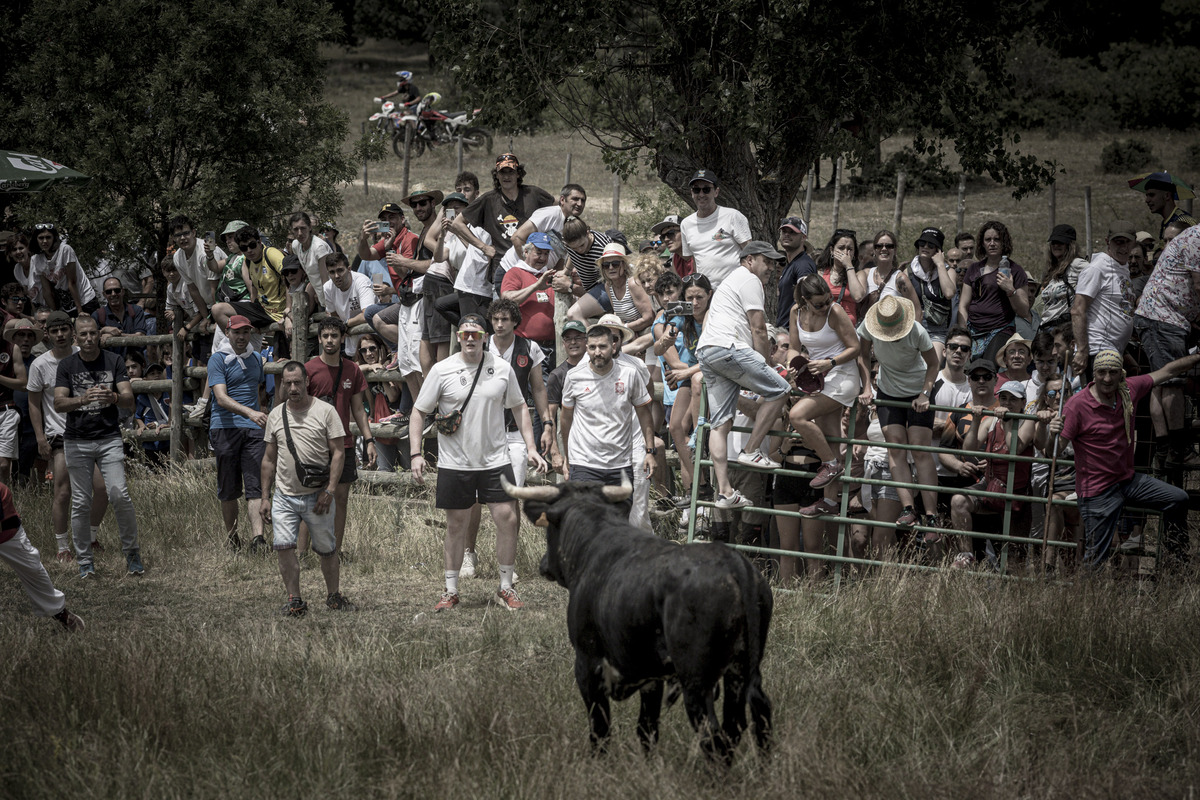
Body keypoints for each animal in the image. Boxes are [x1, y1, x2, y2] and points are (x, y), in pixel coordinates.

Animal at [504, 474, 768, 762]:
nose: (544, 565)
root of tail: (733, 564)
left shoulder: (588, 662)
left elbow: (600, 727)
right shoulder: (651, 677)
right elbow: (647, 728)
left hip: (696, 680)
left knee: (713, 733)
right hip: (741, 671)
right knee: (746, 720)